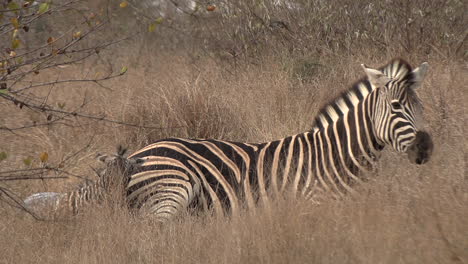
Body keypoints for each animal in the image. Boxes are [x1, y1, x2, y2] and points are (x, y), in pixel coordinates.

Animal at [120, 58, 432, 222]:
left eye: (420, 107)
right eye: (396, 106)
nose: (425, 149)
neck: (338, 155)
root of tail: (137, 153)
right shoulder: (314, 205)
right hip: (172, 190)